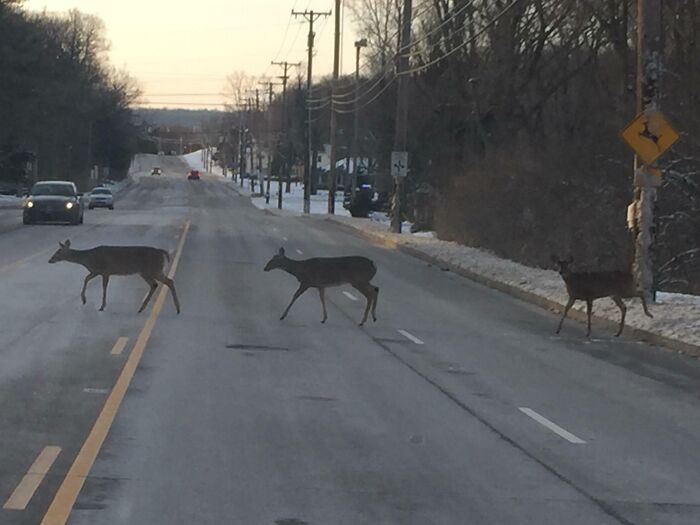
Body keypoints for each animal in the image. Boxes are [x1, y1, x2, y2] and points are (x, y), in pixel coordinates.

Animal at [48, 239, 180, 314]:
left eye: (58, 252)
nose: (50, 260)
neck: (88, 259)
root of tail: (162, 252)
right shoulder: (96, 271)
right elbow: (86, 279)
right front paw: (84, 300)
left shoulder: (104, 271)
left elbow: (103, 286)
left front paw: (101, 306)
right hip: (146, 272)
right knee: (156, 284)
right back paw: (141, 308)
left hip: (152, 269)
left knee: (169, 281)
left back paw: (178, 308)